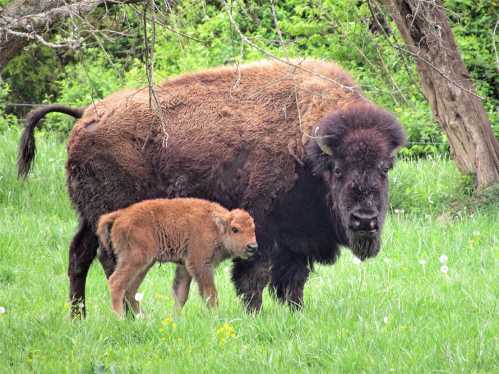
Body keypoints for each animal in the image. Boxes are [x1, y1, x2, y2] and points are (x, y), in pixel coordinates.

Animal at [97, 197, 258, 318]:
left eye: (253, 228)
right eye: (235, 229)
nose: (252, 246)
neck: (215, 227)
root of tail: (120, 215)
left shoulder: (184, 266)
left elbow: (181, 294)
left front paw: (175, 318)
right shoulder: (200, 264)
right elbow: (210, 294)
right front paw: (216, 316)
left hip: (144, 265)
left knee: (130, 291)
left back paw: (144, 318)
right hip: (135, 259)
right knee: (116, 283)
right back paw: (120, 318)